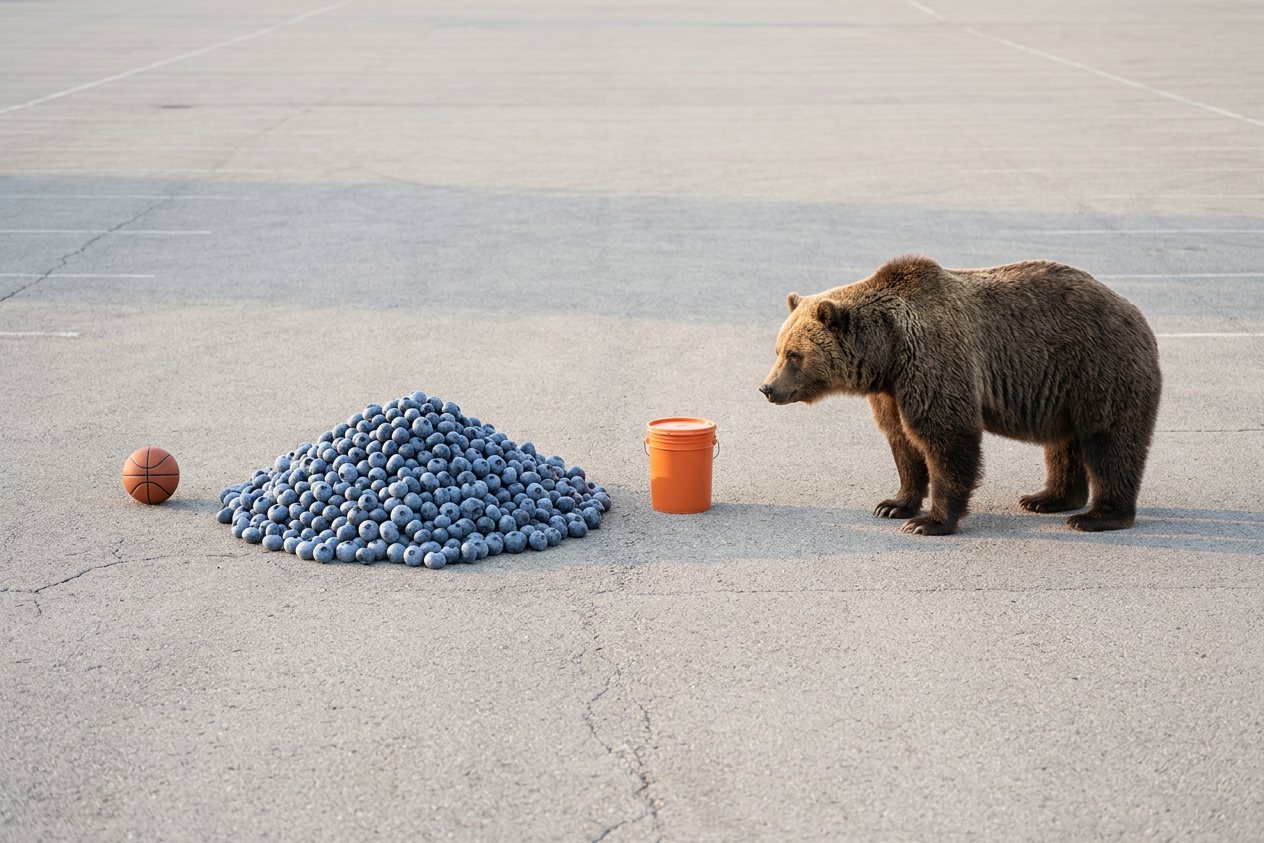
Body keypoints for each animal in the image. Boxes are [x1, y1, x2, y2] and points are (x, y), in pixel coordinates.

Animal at [759, 255, 1162, 535]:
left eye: (794, 354)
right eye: (778, 349)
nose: (767, 388)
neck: (887, 351)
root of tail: (1135, 312)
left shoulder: (933, 361)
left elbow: (946, 437)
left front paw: (929, 522)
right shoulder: (892, 390)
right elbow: (902, 442)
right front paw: (893, 505)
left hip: (1100, 368)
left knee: (1110, 442)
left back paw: (1097, 516)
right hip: (1064, 390)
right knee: (1065, 444)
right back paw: (1046, 499)